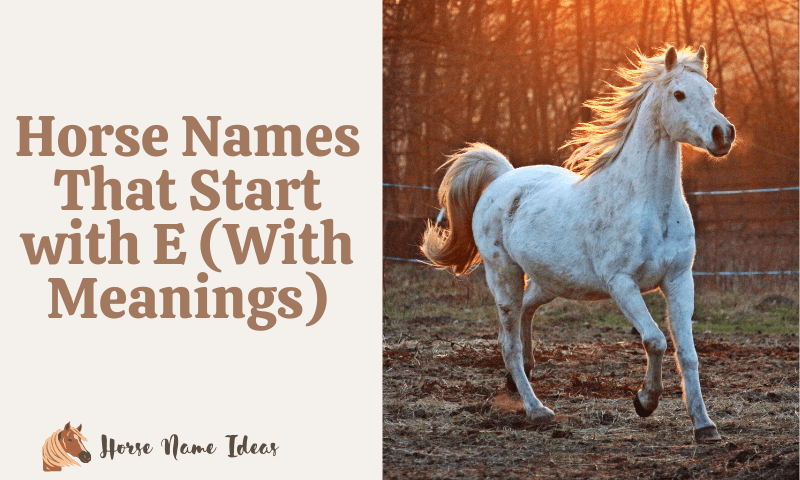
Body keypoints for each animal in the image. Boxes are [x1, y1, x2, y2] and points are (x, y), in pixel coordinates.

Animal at [420, 46, 734, 444]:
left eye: (711, 92)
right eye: (678, 94)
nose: (723, 134)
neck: (648, 204)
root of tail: (504, 178)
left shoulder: (679, 279)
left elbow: (688, 354)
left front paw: (705, 426)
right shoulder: (622, 284)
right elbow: (655, 340)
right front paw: (645, 402)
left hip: (550, 281)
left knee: (525, 314)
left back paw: (520, 378)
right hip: (504, 275)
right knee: (508, 342)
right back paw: (537, 410)